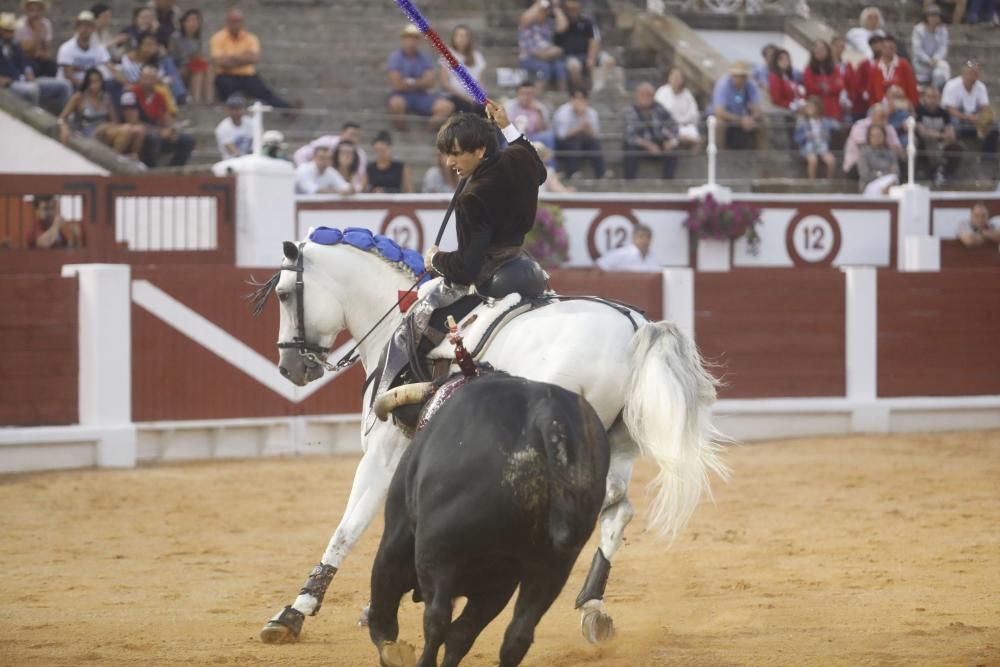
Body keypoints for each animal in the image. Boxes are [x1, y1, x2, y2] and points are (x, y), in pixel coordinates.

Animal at [372, 374, 612, 664]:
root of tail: (546, 413)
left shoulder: (396, 537)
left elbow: (384, 600)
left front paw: (390, 650)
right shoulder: (500, 583)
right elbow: (463, 634)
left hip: (436, 552)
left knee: (436, 618)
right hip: (553, 566)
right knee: (516, 635)